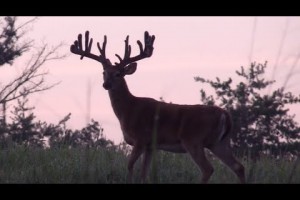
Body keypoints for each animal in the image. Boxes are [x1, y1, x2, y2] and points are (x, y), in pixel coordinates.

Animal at [71, 30, 246, 184]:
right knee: (239, 166)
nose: (106, 84)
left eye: (118, 74)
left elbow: (130, 166)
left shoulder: (140, 139)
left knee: (208, 169)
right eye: (104, 72)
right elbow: (144, 173)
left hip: (194, 140)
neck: (128, 110)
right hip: (219, 143)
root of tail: (225, 115)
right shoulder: (150, 146)